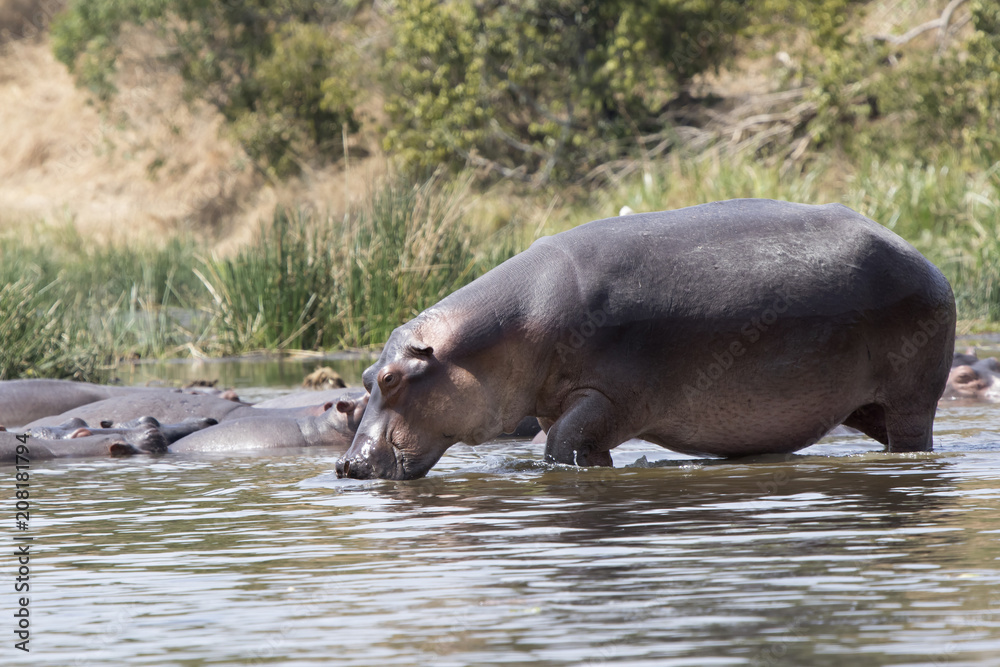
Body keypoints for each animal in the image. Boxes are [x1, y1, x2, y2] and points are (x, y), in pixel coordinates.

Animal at [335, 198, 956, 480]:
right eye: (364, 379)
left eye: (391, 378)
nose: (346, 465)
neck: (497, 339)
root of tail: (924, 259)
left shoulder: (607, 399)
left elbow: (561, 447)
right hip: (864, 406)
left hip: (911, 399)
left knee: (912, 437)